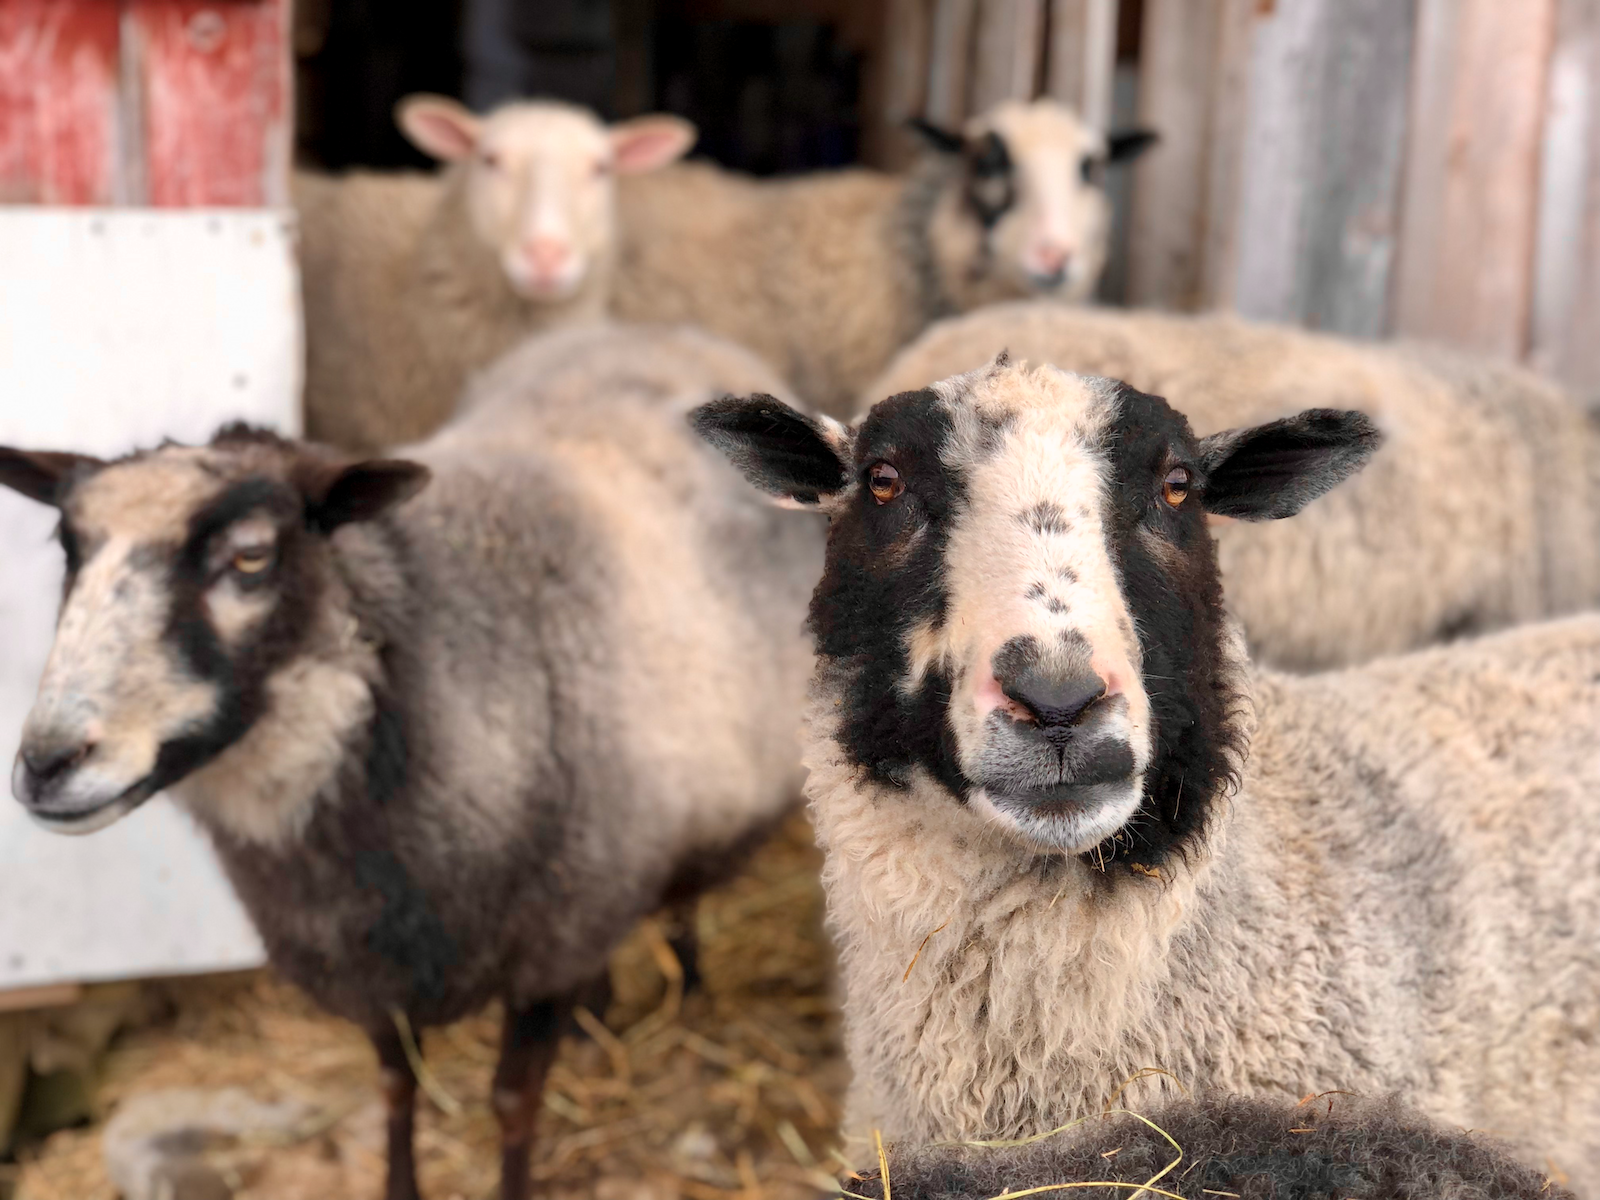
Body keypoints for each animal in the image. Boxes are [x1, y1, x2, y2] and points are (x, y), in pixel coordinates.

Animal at [0, 324, 823, 1200]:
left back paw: (690, 987)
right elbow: (397, 1086)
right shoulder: (376, 964)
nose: (47, 762)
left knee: (685, 898)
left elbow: (512, 1103)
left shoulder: (551, 942)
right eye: (68, 550)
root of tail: (664, 332)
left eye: (250, 558)